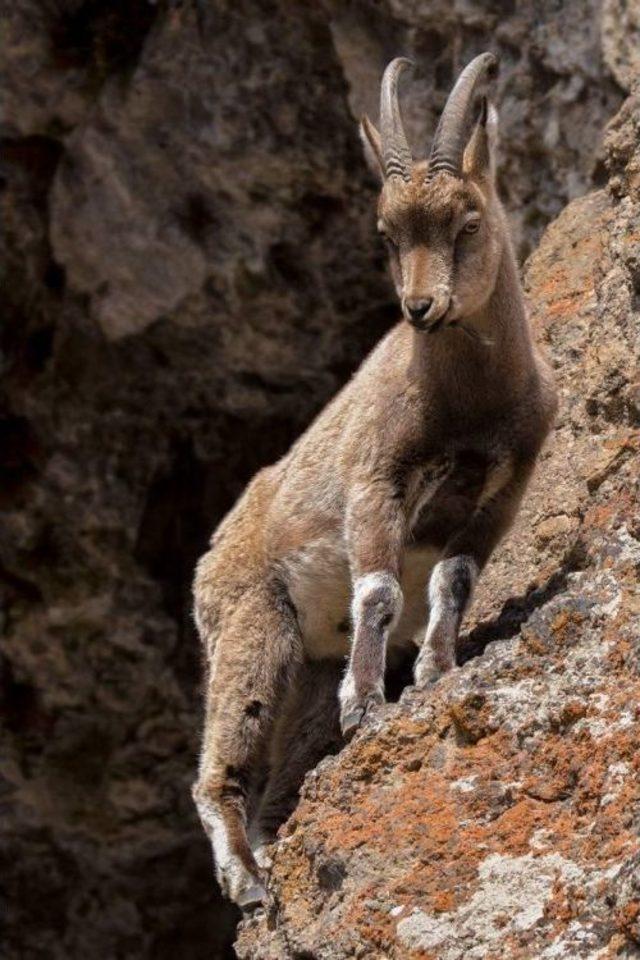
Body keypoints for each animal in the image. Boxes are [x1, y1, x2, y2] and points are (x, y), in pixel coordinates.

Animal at [190, 52, 556, 908]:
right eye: (387, 232)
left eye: (466, 221)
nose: (419, 307)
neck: (468, 403)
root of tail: (211, 556)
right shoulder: (375, 482)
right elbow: (382, 591)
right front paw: (368, 706)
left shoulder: (504, 489)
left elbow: (453, 579)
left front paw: (435, 672)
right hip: (255, 627)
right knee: (220, 765)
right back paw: (248, 882)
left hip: (307, 664)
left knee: (279, 775)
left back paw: (270, 856)